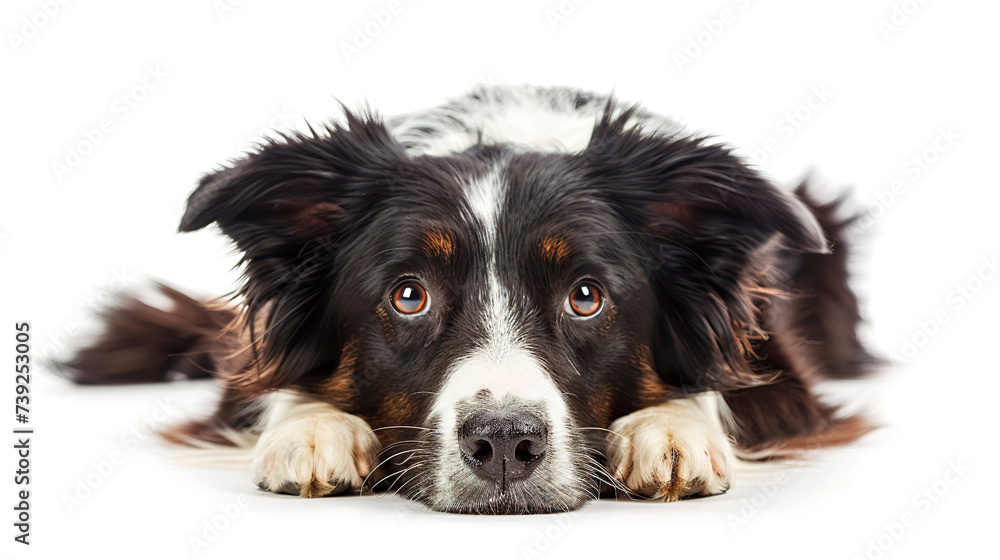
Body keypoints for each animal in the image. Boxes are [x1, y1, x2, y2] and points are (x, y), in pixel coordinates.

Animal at [62, 85, 876, 516]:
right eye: (408, 295)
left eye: (586, 296)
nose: (506, 446)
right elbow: (273, 387)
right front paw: (311, 428)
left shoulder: (777, 356)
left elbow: (719, 388)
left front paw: (671, 429)